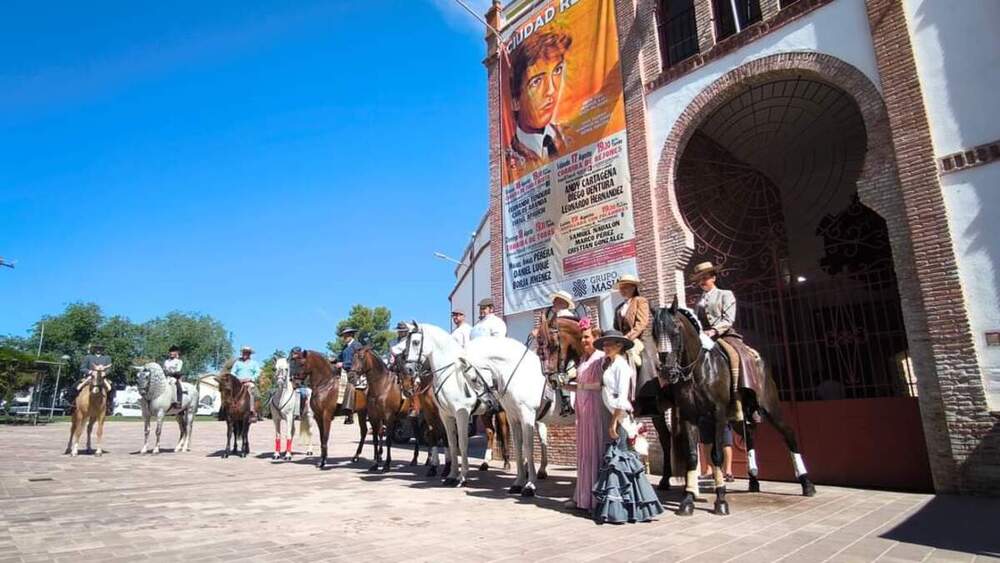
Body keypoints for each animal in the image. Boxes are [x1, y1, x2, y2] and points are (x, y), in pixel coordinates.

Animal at [652, 302, 816, 516]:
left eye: (675, 331)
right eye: (654, 333)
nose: (667, 372)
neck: (699, 369)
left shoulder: (718, 414)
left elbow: (717, 455)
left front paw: (721, 500)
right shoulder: (689, 415)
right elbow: (692, 456)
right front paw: (687, 500)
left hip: (770, 408)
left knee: (788, 433)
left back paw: (807, 484)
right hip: (738, 417)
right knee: (751, 436)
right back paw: (753, 481)